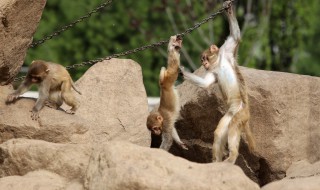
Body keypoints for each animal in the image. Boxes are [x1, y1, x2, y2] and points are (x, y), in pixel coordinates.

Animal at [180, 0, 255, 163]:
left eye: (204, 58)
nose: (203, 63)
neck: (218, 62)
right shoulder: (212, 71)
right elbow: (206, 84)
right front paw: (180, 71)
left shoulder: (227, 51)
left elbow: (236, 37)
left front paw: (229, 9)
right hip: (230, 114)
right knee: (220, 132)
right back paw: (217, 161)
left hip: (240, 115)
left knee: (233, 128)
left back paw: (232, 156)